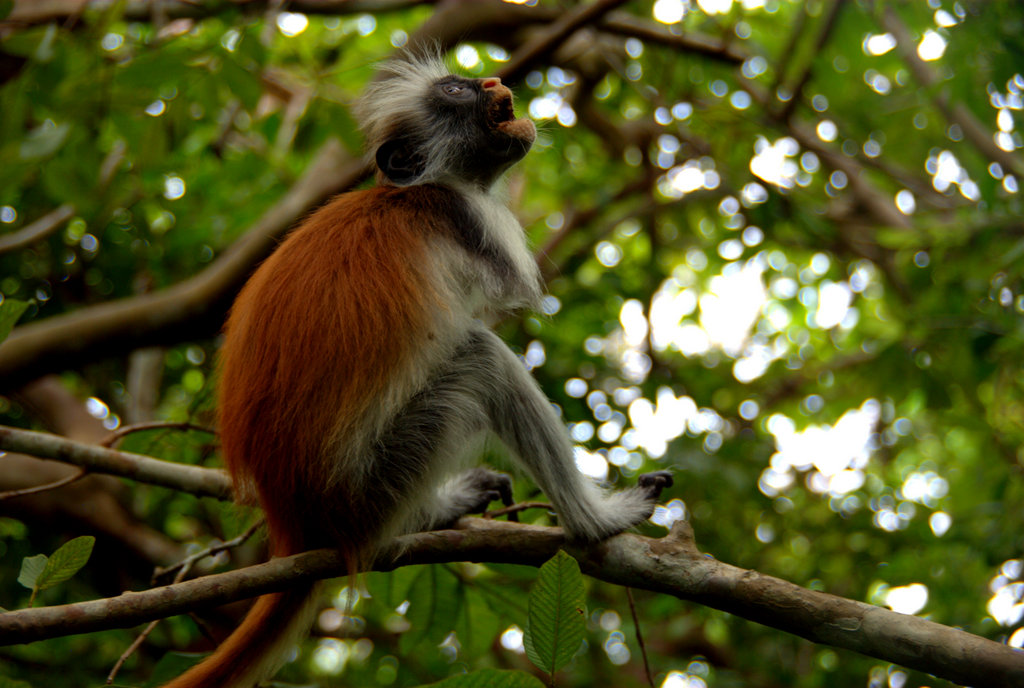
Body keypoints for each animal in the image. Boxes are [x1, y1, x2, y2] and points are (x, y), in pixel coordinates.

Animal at [160, 55, 672, 688]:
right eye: (454, 91)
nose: (490, 81)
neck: (421, 190)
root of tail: (295, 520)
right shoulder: (473, 221)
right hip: (372, 484)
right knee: (483, 358)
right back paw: (593, 523)